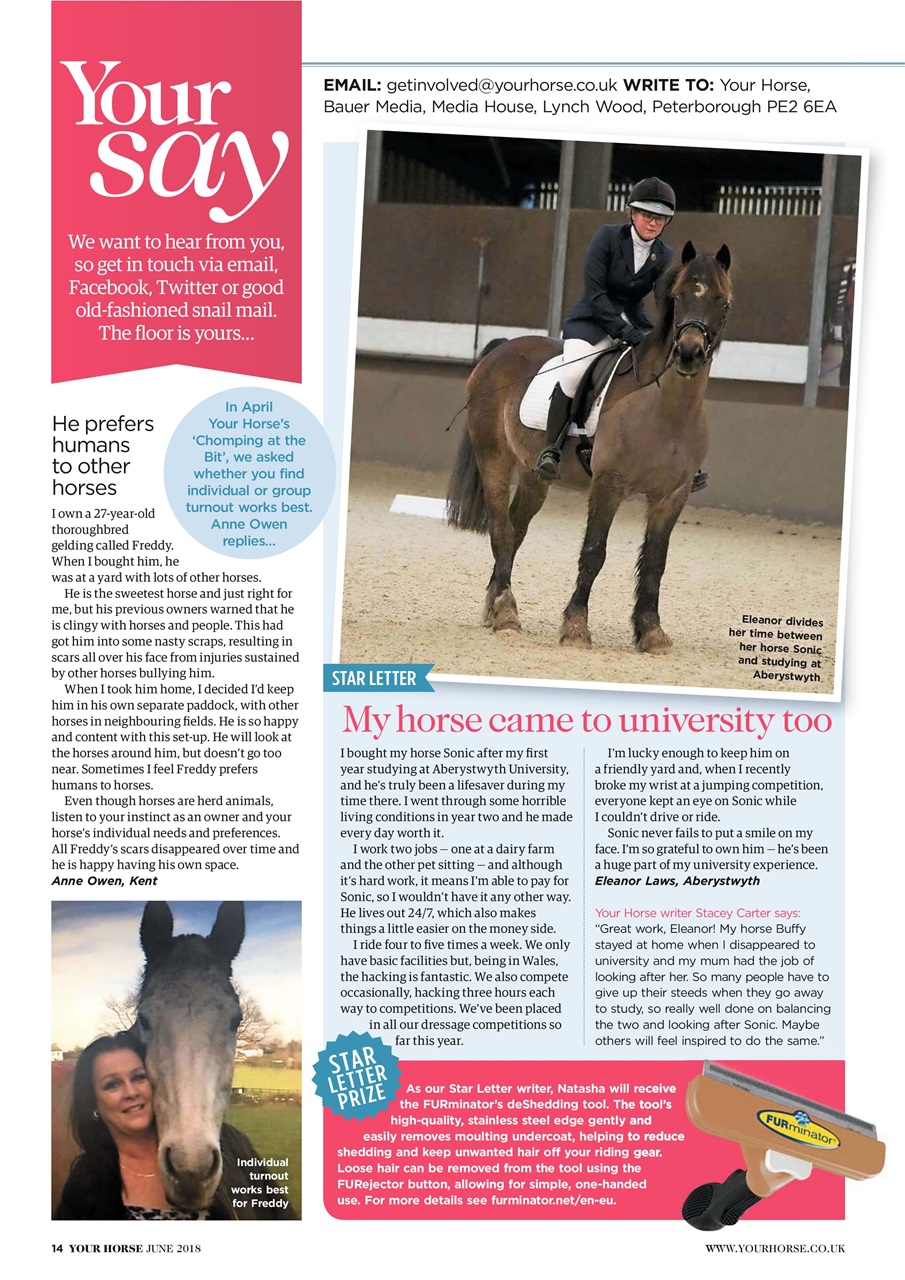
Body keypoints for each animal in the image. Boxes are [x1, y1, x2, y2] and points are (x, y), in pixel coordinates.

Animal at [446, 241, 732, 655]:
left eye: (722, 302)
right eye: (677, 297)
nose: (689, 353)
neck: (668, 408)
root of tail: (500, 351)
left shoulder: (672, 495)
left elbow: (656, 562)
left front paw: (652, 633)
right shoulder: (608, 484)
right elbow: (594, 552)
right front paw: (576, 628)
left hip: (535, 477)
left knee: (516, 531)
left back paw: (496, 606)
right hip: (494, 460)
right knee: (501, 530)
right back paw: (507, 614)